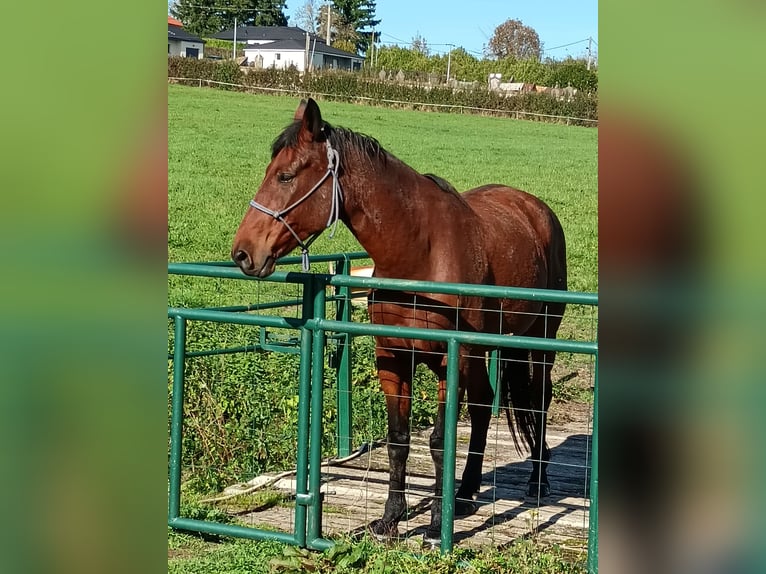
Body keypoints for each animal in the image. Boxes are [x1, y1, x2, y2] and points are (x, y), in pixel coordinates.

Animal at [231, 98, 568, 544]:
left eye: (285, 175)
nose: (243, 252)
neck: (419, 254)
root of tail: (535, 208)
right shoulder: (393, 359)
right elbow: (398, 440)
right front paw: (391, 518)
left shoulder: (449, 360)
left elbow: (439, 441)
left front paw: (435, 526)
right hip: (482, 351)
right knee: (482, 407)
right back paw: (466, 493)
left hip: (540, 340)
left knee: (540, 400)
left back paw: (536, 482)